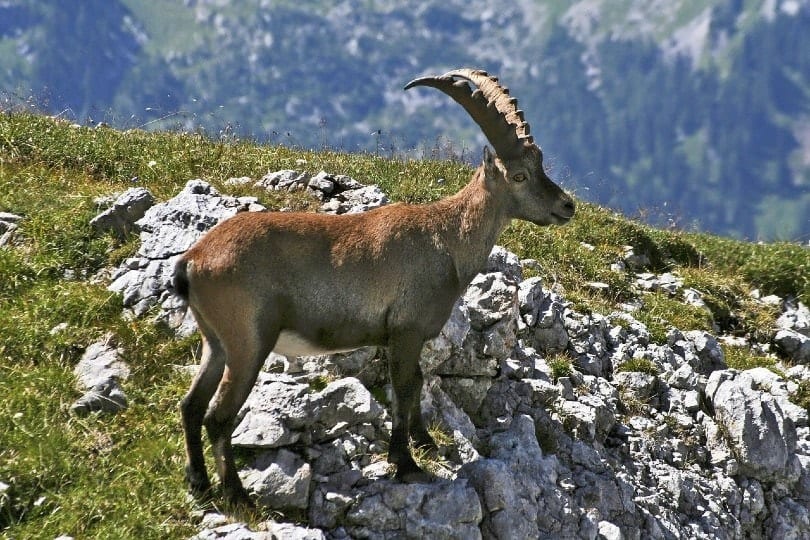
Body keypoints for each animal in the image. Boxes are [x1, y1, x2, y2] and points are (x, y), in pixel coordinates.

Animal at [173, 69, 575, 508]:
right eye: (519, 175)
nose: (567, 206)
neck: (445, 237)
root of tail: (192, 260)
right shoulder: (406, 331)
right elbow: (404, 387)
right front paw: (406, 463)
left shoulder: (404, 337)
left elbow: (417, 383)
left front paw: (425, 443)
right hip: (248, 342)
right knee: (218, 416)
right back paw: (237, 495)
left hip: (216, 342)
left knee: (191, 405)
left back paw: (198, 482)